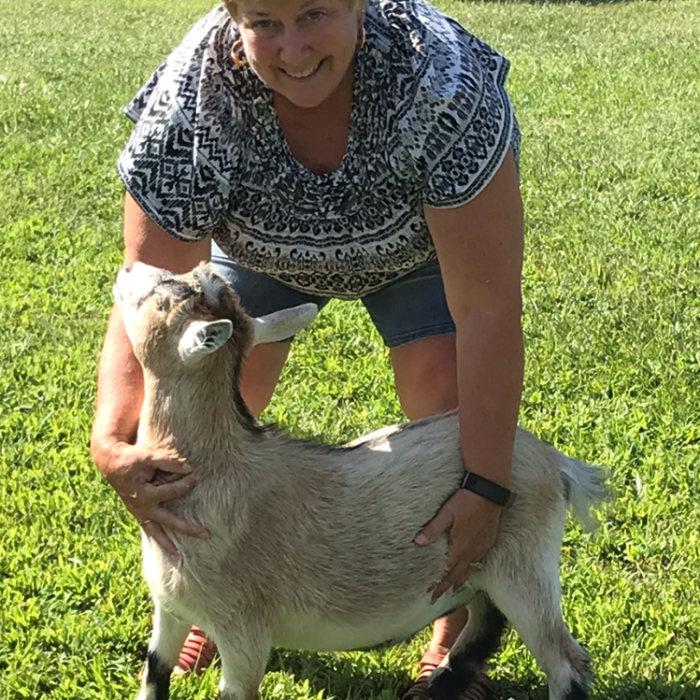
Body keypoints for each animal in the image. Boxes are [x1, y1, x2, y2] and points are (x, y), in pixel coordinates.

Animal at [113, 262, 608, 700]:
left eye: (164, 299)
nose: (127, 269)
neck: (217, 470)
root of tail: (555, 462)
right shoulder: (170, 609)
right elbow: (155, 670)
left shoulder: (244, 631)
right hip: (485, 568)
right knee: (488, 621)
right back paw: (444, 680)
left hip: (523, 566)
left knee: (566, 661)